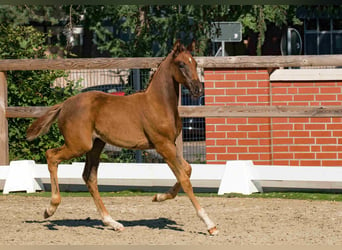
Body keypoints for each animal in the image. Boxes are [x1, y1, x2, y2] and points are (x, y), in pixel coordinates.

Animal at [28, 41, 218, 234]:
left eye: (195, 63)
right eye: (181, 64)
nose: (198, 89)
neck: (158, 104)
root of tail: (65, 104)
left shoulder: (171, 144)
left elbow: (187, 170)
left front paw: (158, 197)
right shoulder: (163, 145)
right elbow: (185, 179)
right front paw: (210, 225)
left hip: (96, 145)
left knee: (89, 177)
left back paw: (112, 222)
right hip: (79, 145)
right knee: (52, 156)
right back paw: (50, 209)